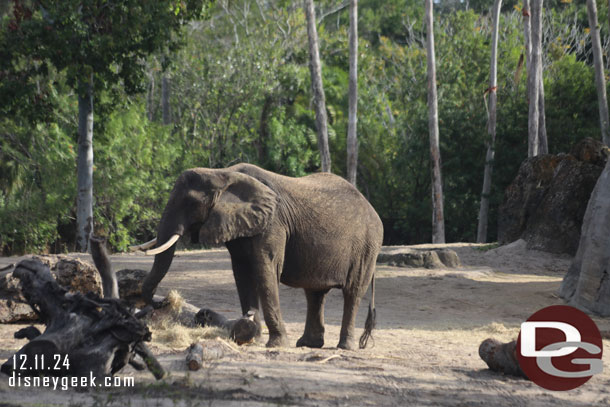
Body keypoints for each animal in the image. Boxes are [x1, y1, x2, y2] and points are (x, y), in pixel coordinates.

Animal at [134, 163, 380, 350]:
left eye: (192, 203)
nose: (163, 301)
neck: (223, 173)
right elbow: (242, 273)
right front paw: (252, 335)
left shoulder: (272, 223)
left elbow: (265, 270)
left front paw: (275, 344)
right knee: (314, 294)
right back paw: (307, 345)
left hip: (367, 247)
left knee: (352, 292)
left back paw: (344, 347)